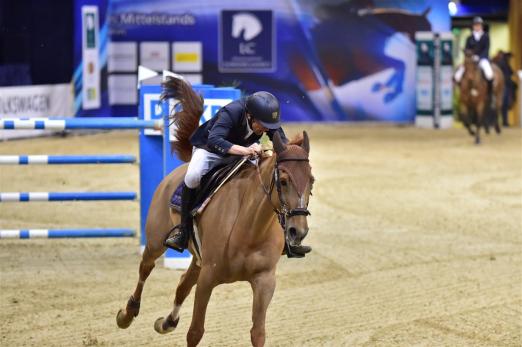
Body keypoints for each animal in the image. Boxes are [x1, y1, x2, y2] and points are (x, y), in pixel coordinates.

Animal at [115, 77, 310, 346]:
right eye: (283, 181)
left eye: (311, 181)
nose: (297, 232)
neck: (251, 228)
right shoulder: (208, 278)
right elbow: (195, 331)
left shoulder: (264, 282)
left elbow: (258, 333)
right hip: (156, 242)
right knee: (146, 268)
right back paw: (127, 313)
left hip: (197, 259)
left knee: (182, 284)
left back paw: (167, 322)